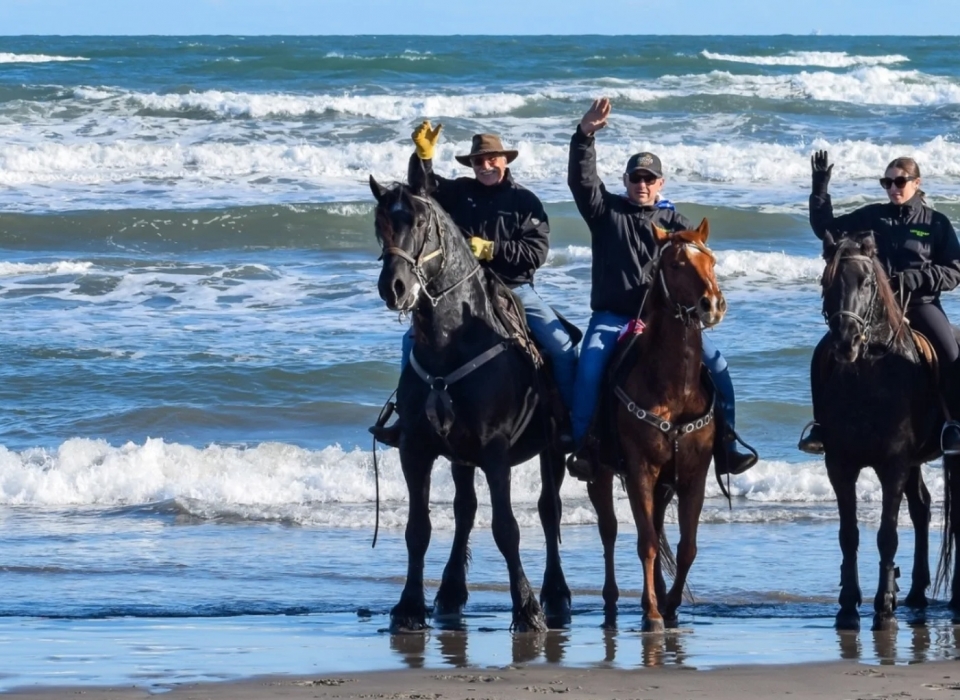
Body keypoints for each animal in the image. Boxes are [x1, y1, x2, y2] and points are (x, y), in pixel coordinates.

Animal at [368, 175, 571, 633]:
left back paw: (555, 594)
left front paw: (527, 609)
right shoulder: (415, 449)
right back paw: (450, 592)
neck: (452, 343)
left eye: (420, 222)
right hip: (461, 457)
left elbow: (507, 528)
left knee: (549, 511)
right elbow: (418, 529)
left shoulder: (495, 452)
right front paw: (409, 606)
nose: (394, 287)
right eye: (379, 224)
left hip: (551, 450)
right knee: (465, 510)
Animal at [586, 219, 726, 632]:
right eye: (677, 265)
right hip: (601, 473)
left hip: (666, 483)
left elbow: (686, 546)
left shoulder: (695, 473)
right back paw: (612, 600)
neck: (674, 390)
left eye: (712, 260)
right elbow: (645, 542)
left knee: (659, 525)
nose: (713, 305)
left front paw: (672, 604)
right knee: (610, 530)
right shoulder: (639, 470)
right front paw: (651, 612)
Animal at [812, 230, 960, 631]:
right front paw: (848, 605)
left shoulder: (893, 464)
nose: (845, 341)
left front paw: (883, 605)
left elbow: (887, 535)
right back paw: (917, 593)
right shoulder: (840, 465)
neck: (869, 375)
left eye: (865, 281)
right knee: (922, 508)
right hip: (914, 462)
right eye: (826, 282)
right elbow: (849, 535)